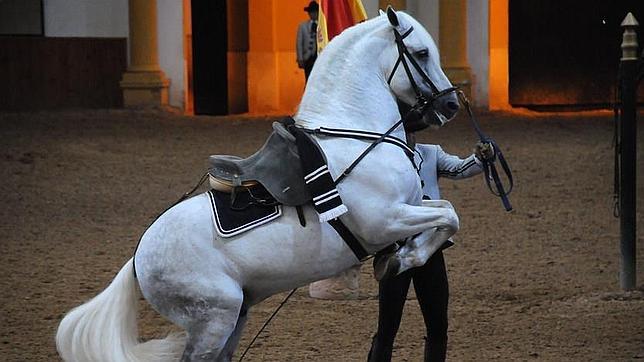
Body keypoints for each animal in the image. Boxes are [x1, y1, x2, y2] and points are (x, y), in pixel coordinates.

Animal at [54, 8, 458, 362]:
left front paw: (401, 257)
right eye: (421, 53)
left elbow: (445, 212)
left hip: (235, 317)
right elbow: (449, 218)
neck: (356, 136)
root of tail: (139, 258)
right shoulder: (383, 221)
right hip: (214, 320)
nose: (452, 104)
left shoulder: (408, 208)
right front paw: (401, 259)